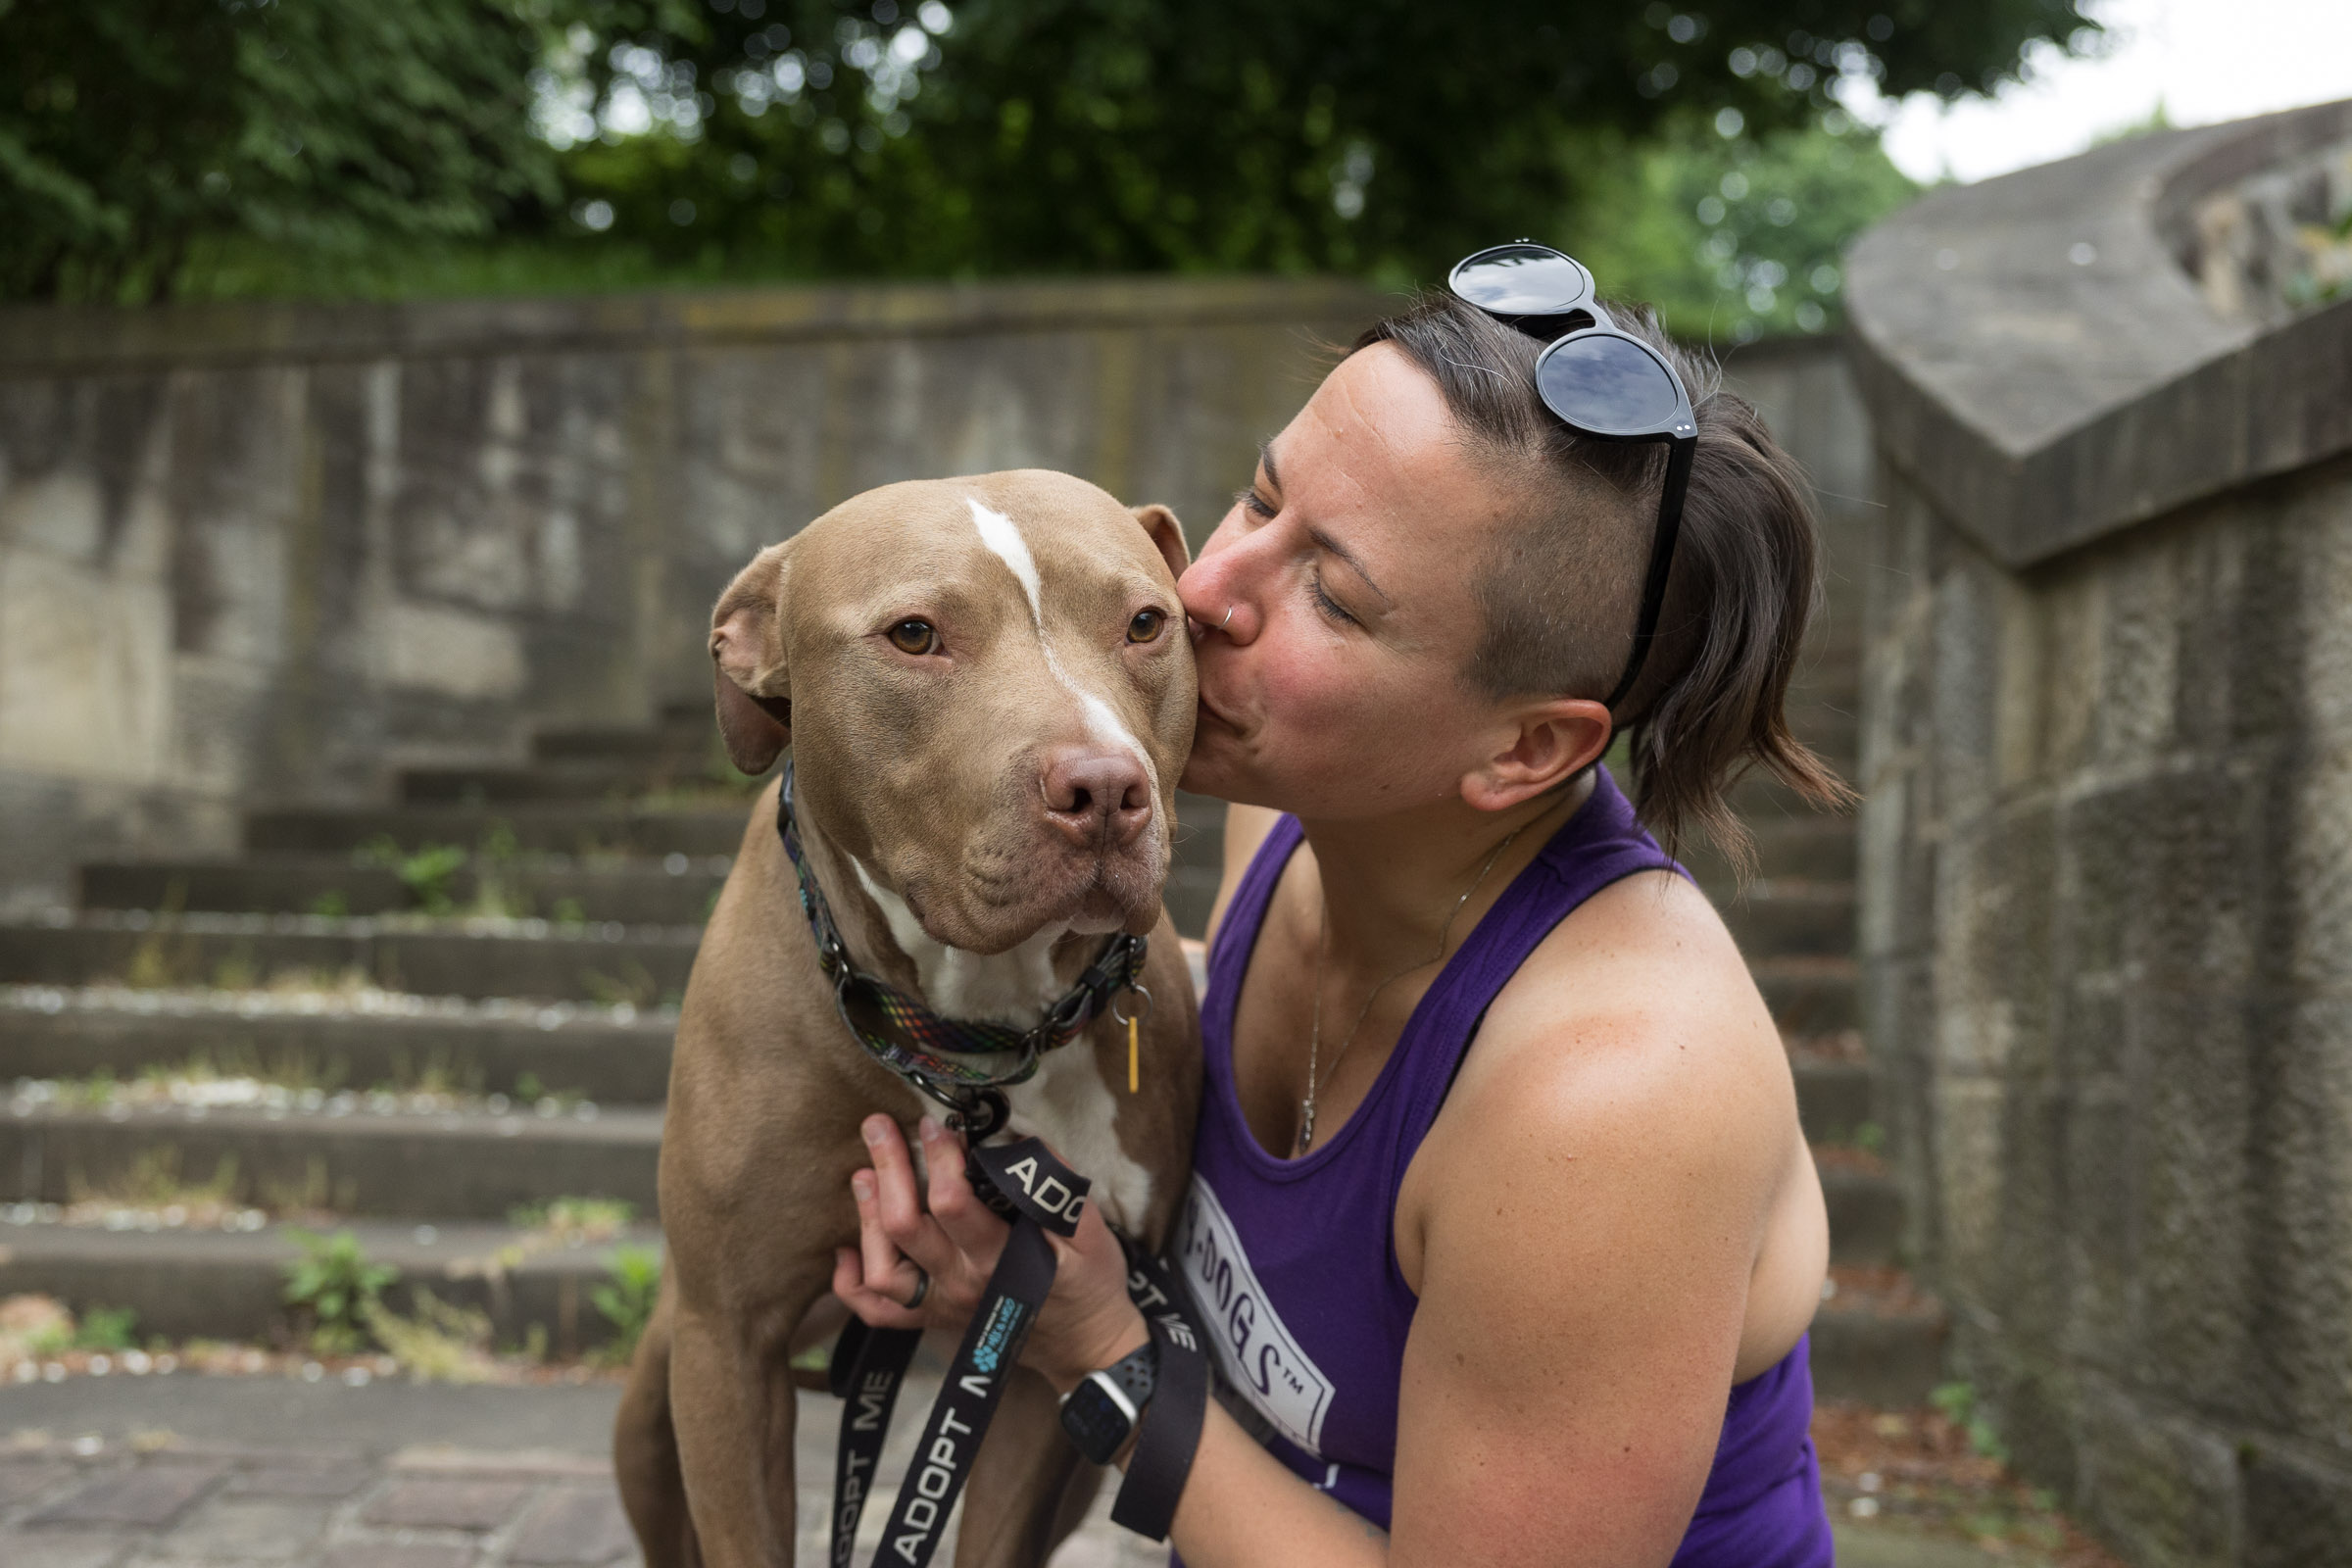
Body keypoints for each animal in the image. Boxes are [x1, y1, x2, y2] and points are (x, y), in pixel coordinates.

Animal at [615, 469, 1203, 1568]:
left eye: (1147, 623)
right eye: (915, 635)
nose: (1106, 789)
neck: (966, 1037)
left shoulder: (1046, 1324)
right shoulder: (728, 1341)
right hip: (652, 1399)